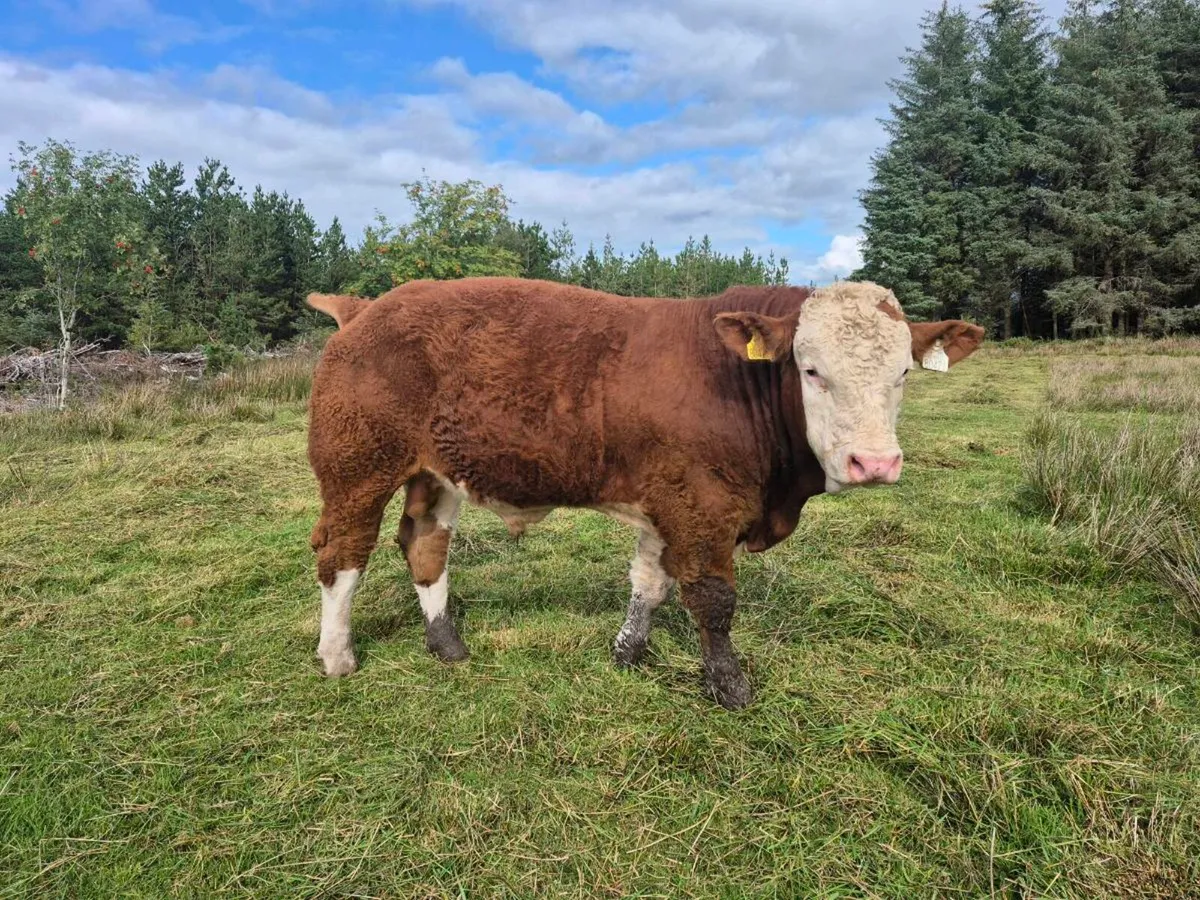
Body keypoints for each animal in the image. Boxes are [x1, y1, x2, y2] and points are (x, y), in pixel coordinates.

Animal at [304, 277, 983, 709]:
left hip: (435, 471)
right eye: (811, 369)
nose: (875, 463)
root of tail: (365, 308)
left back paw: (447, 643)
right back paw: (337, 656)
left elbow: (648, 582)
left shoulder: (667, 501)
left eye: (903, 373)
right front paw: (729, 686)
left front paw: (629, 652)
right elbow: (713, 600)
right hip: (355, 467)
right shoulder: (702, 507)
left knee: (425, 544)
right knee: (342, 555)